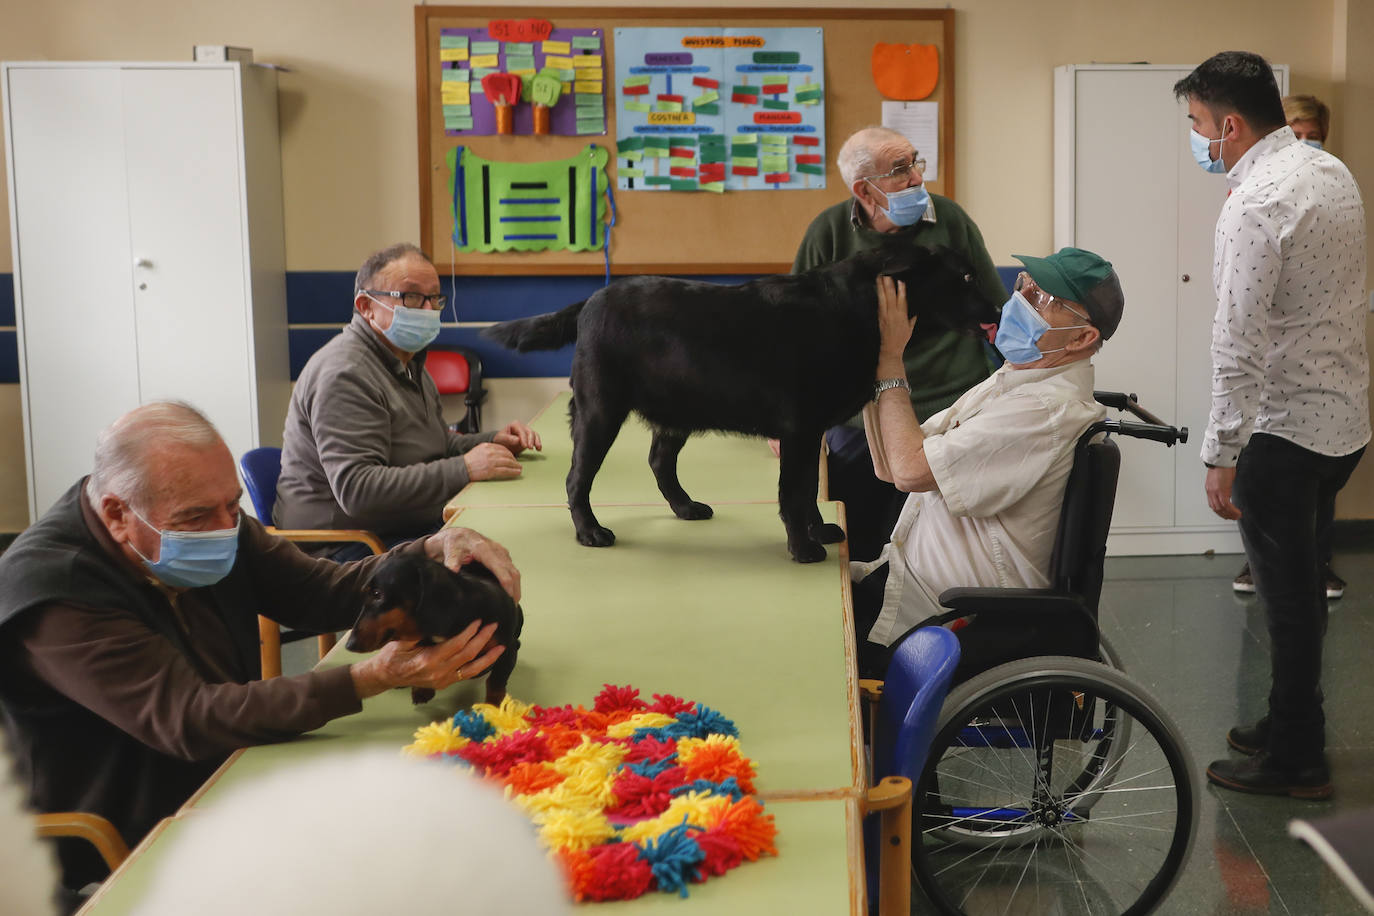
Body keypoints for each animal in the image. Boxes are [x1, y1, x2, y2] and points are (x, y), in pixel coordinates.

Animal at [348, 552, 524, 708]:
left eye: (377, 594)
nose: (350, 644)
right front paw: (422, 689)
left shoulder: (506, 650)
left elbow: (496, 682)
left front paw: (494, 708)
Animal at [483, 240, 1000, 563]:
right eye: (965, 276)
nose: (997, 309)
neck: (855, 307)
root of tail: (590, 301)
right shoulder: (799, 427)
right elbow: (792, 492)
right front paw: (802, 548)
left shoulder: (811, 434)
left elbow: (809, 489)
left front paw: (819, 531)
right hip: (600, 410)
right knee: (578, 478)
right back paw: (590, 532)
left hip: (676, 411)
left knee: (659, 461)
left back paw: (686, 507)